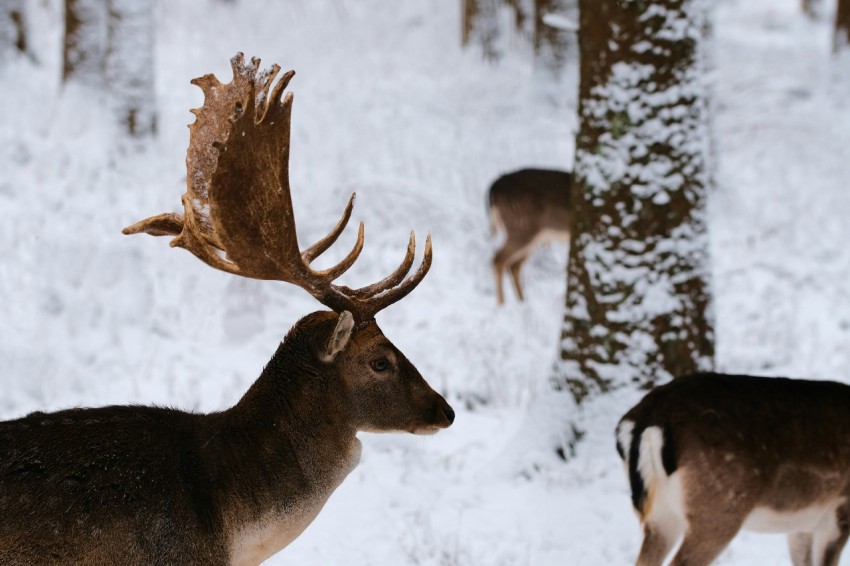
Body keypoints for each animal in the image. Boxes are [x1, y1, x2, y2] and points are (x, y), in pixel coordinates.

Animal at [487, 168, 572, 305]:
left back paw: (522, 302)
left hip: (531, 236)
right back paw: (502, 305)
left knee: (513, 266)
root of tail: (494, 188)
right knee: (498, 260)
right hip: (521, 227)